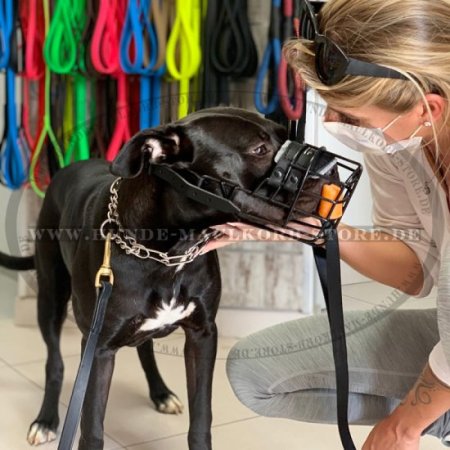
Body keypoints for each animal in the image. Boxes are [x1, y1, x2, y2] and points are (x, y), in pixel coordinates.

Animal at [0, 107, 290, 448]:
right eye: (260, 150)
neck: (167, 251)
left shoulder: (203, 334)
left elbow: (201, 415)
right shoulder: (98, 348)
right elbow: (91, 427)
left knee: (145, 348)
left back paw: (161, 393)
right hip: (50, 297)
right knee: (54, 362)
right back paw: (46, 420)